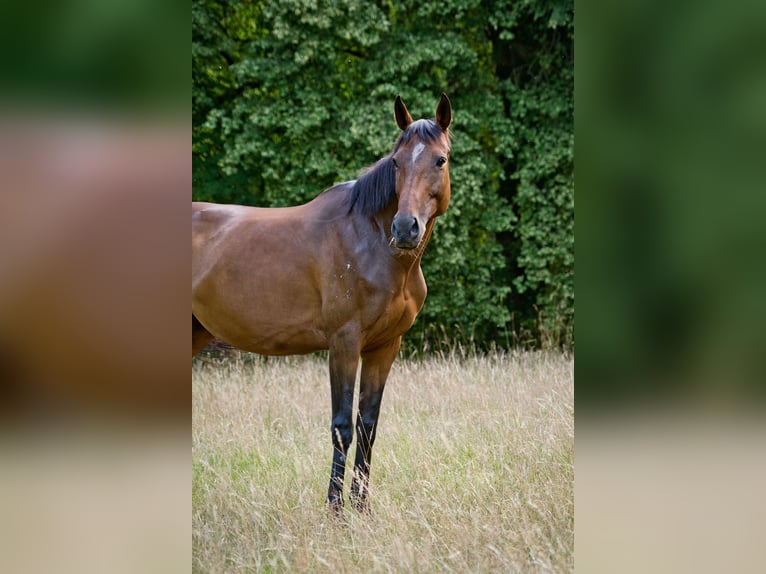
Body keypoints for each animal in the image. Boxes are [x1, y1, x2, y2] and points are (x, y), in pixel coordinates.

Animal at [194, 94, 456, 516]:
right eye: (396, 162)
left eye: (440, 160)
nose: (405, 228)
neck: (370, 240)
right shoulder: (344, 343)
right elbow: (342, 427)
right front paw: (336, 512)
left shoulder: (385, 346)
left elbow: (367, 427)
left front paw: (362, 509)